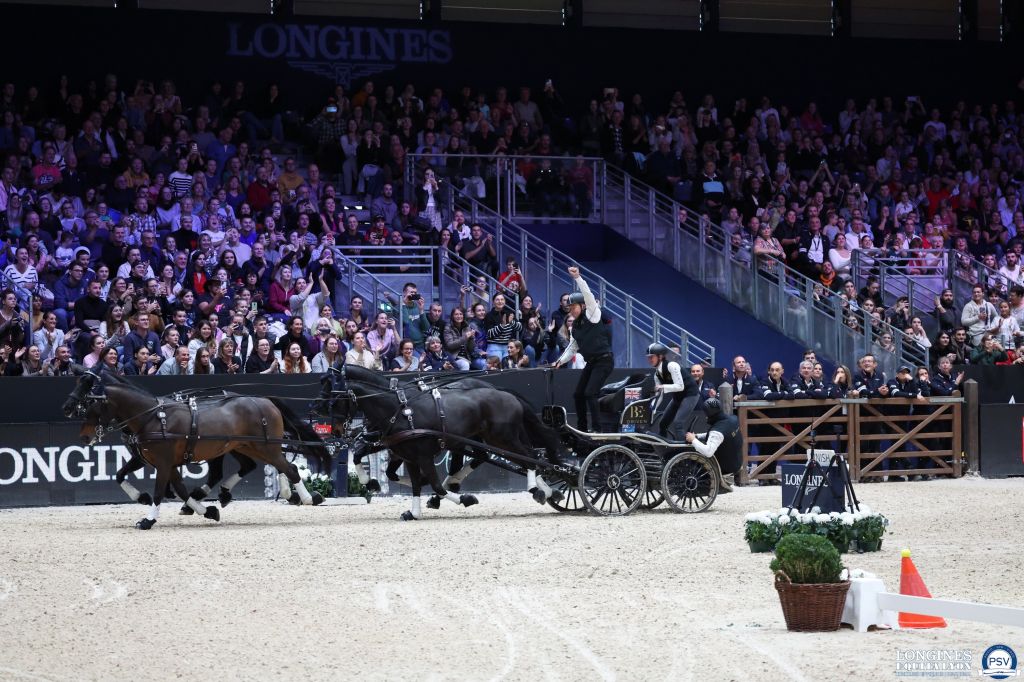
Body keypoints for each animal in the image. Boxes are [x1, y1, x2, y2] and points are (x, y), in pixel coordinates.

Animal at [61, 368, 331, 528]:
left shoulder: (163, 462)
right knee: (261, 466)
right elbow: (128, 477)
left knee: (289, 468)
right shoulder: (156, 461)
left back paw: (308, 498)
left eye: (90, 400)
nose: (84, 437)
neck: (151, 417)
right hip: (246, 446)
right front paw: (206, 510)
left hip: (264, 447)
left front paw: (148, 519)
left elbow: (160, 491)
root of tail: (264, 400)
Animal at [321, 364, 561, 518]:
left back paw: (538, 490)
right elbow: (408, 481)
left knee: (530, 458)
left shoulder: (422, 455)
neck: (398, 409)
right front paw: (413, 511)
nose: (336, 430)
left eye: (335, 399)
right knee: (512, 458)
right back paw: (547, 490)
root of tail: (507, 394)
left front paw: (465, 499)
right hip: (489, 439)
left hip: (502, 439)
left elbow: (435, 485)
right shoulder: (404, 453)